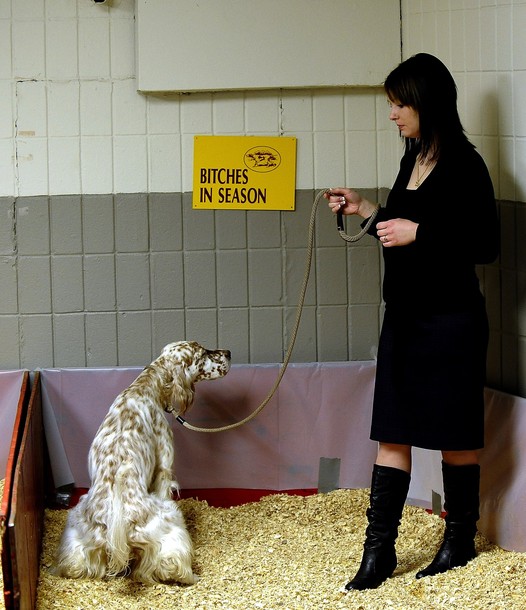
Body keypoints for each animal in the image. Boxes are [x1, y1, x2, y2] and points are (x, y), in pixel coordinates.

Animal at [53, 340, 231, 580]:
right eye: (203, 353)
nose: (229, 353)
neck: (145, 385)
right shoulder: (164, 466)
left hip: (77, 528)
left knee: (75, 563)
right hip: (170, 518)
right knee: (171, 562)